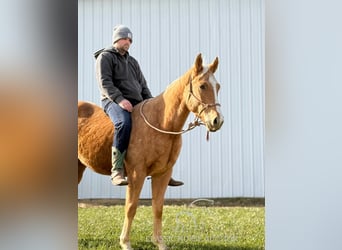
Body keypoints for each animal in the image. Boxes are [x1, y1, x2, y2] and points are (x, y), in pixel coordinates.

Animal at [77, 53, 223, 249]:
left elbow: (158, 208)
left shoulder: (162, 174)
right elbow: (131, 207)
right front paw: (125, 242)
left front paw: (159, 242)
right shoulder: (136, 174)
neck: (160, 124)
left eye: (218, 86)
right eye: (202, 86)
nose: (217, 120)